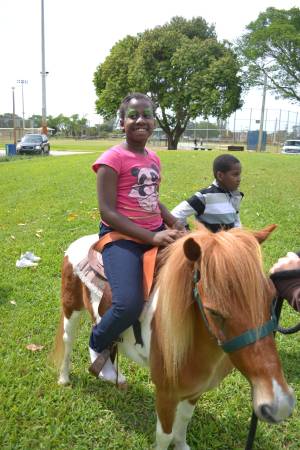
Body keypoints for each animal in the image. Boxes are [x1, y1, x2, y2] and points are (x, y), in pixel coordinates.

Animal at [52, 225, 294, 450]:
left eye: (272, 297)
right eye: (213, 311)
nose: (279, 405)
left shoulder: (194, 391)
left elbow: (184, 420)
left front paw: (182, 444)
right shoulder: (166, 394)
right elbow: (164, 435)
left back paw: (112, 375)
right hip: (71, 310)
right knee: (68, 340)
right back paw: (64, 378)